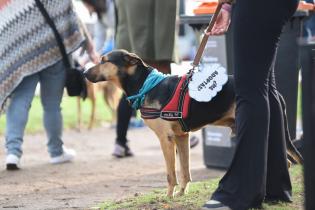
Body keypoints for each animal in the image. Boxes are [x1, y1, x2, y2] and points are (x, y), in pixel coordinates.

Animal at [84, 50, 304, 198]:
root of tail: (274, 93)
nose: (84, 73)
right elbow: (185, 171)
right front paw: (181, 194)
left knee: (288, 161)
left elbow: (171, 174)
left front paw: (168, 197)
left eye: (104, 61)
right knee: (288, 162)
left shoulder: (166, 139)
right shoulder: (182, 137)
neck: (145, 85)